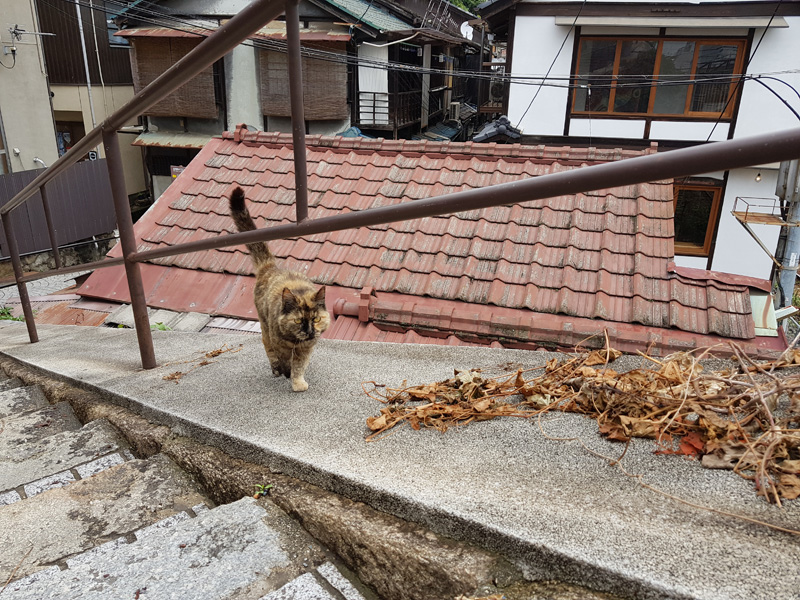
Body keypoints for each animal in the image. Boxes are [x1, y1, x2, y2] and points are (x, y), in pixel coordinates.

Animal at [230, 188, 330, 394]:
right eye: (298, 320)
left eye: (316, 319)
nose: (309, 332)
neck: (295, 342)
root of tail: (270, 267)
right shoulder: (279, 344)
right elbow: (284, 359)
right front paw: (285, 371)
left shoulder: (305, 349)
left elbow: (299, 366)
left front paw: (297, 382)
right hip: (264, 324)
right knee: (266, 345)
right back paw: (276, 369)